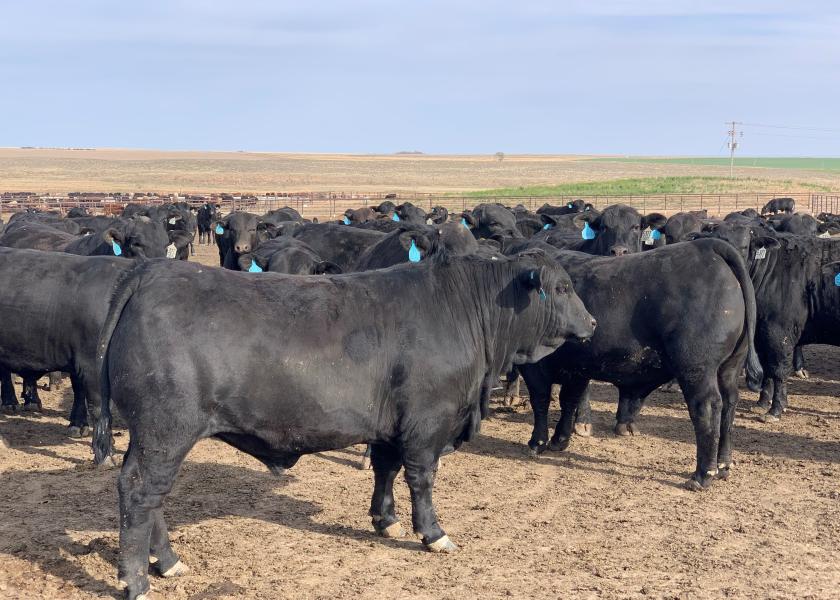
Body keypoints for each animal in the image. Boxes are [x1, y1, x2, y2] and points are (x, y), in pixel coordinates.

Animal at [93, 254, 596, 600]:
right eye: (563, 287)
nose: (591, 322)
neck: (464, 311)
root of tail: (151, 272)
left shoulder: (392, 425)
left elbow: (386, 470)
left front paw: (385, 520)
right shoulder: (427, 423)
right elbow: (422, 479)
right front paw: (433, 533)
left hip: (151, 437)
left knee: (148, 495)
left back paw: (167, 563)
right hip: (166, 431)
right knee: (140, 493)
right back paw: (136, 580)